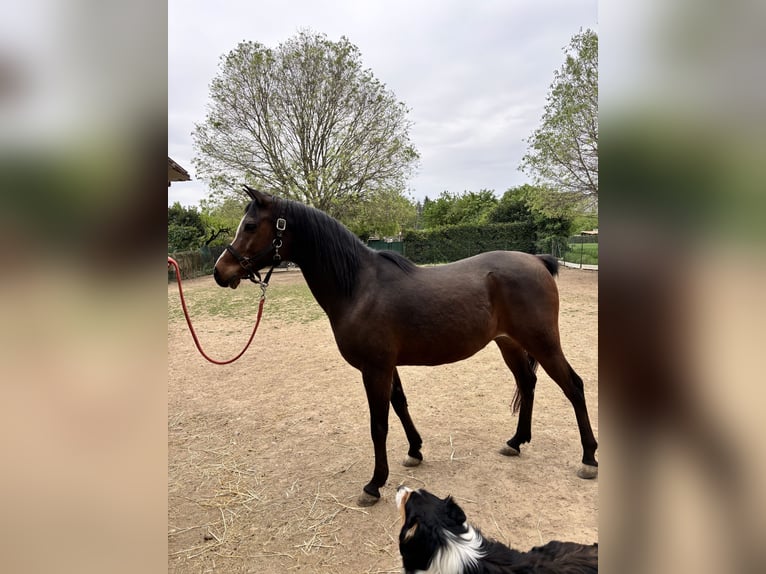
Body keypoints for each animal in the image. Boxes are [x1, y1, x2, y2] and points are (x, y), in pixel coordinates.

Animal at [213, 186, 598, 506]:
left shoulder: (375, 369)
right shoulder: (387, 366)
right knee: (528, 383)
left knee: (573, 386)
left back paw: (589, 458)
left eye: (250, 226)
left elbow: (378, 424)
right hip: (510, 345)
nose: (220, 271)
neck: (359, 287)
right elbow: (400, 405)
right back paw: (516, 442)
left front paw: (374, 484)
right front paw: (415, 450)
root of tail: (538, 261)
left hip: (543, 342)